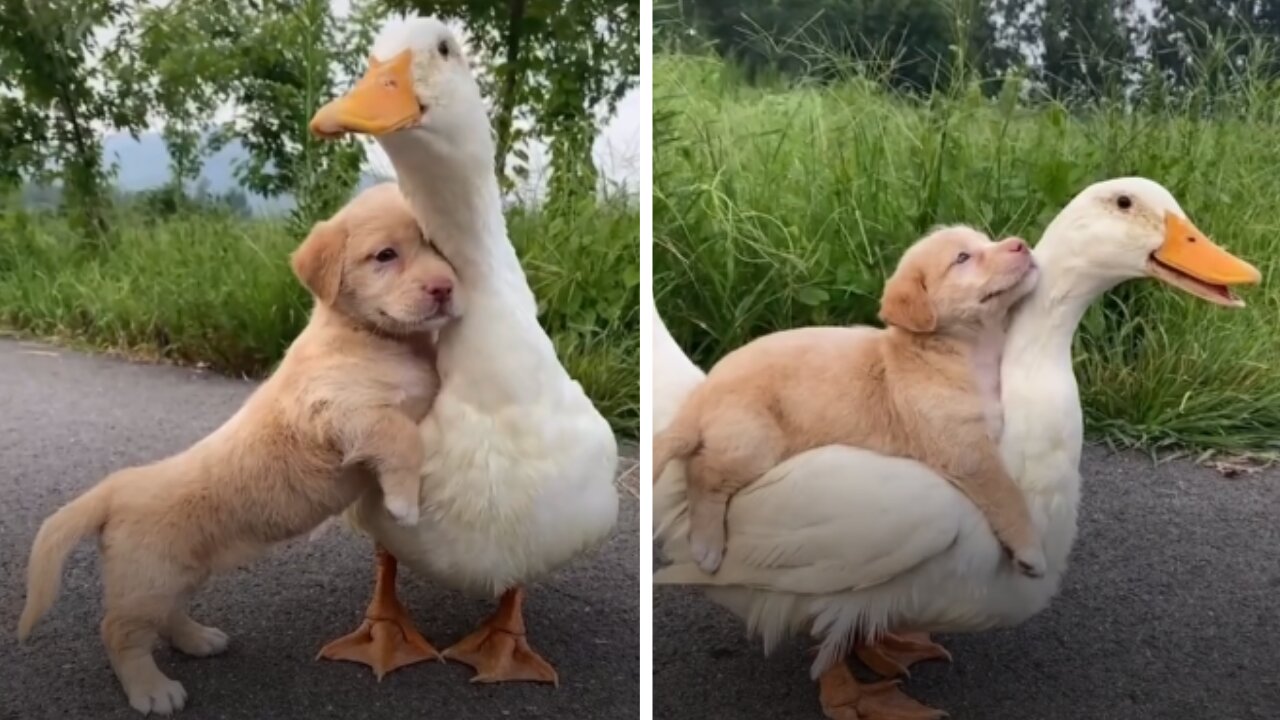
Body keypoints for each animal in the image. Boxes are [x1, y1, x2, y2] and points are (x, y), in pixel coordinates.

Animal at [16, 183, 460, 712]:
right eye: (386, 256)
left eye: (437, 247)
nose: (445, 288)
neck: (371, 336)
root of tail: (115, 488)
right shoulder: (341, 410)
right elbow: (401, 436)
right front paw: (403, 503)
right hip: (147, 579)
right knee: (119, 632)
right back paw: (151, 689)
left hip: (177, 573)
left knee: (167, 616)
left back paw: (197, 639)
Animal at [655, 225, 1044, 576]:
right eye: (962, 258)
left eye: (987, 239)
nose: (1021, 244)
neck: (953, 350)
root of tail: (702, 394)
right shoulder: (967, 451)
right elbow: (1007, 495)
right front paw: (1030, 549)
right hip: (755, 441)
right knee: (702, 472)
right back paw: (706, 545)